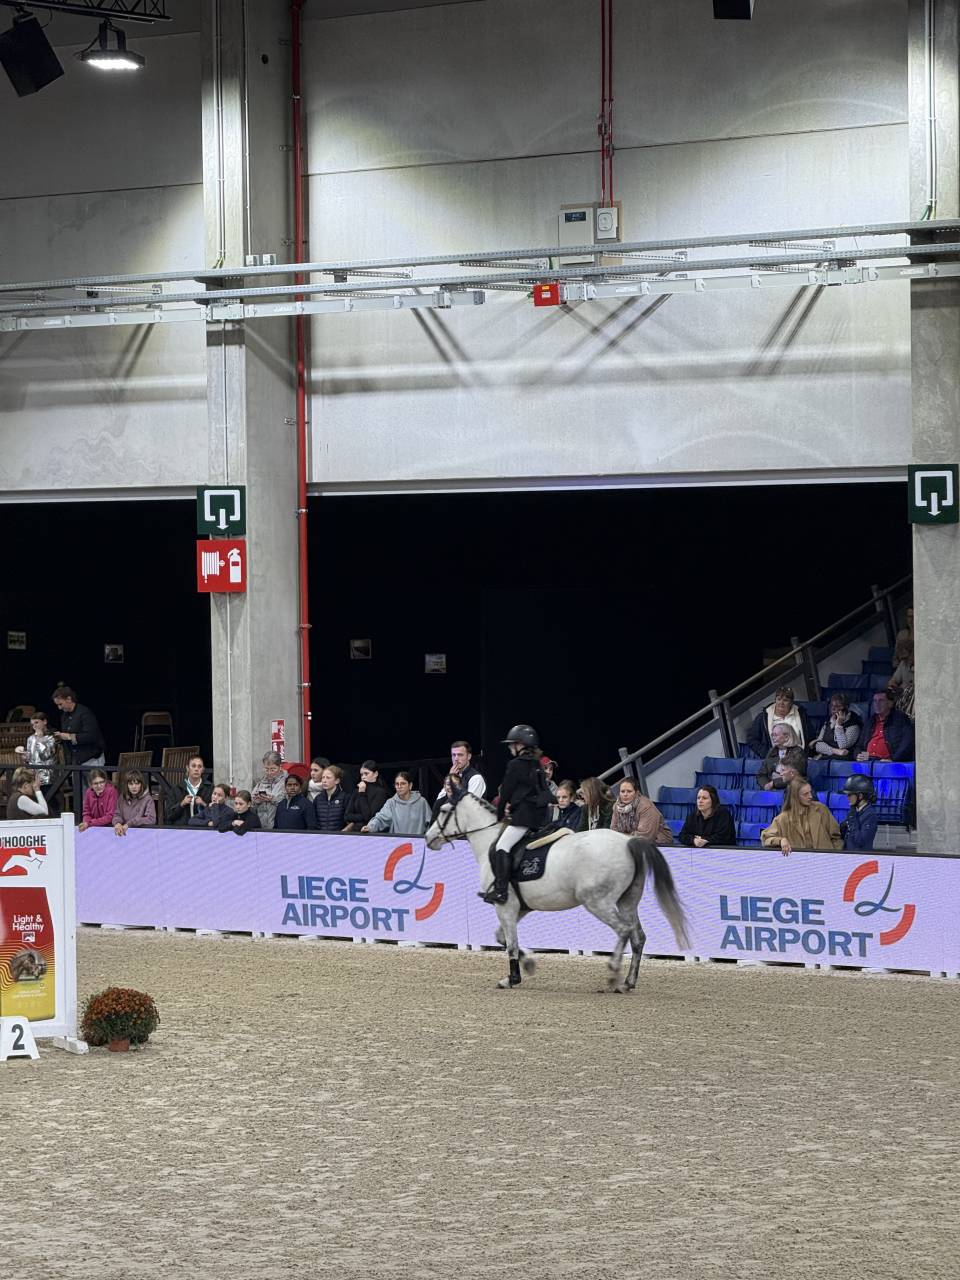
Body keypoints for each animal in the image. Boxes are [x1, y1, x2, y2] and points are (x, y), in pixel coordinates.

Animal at [425, 791, 690, 992]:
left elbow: (510, 943)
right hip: (627, 901)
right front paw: (529, 964)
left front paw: (512, 979)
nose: (428, 838)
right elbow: (502, 938)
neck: (490, 842)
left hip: (598, 903)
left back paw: (614, 973)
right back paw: (628, 983)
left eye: (444, 810)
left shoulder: (505, 906)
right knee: (638, 937)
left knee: (624, 931)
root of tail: (627, 841)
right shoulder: (519, 908)